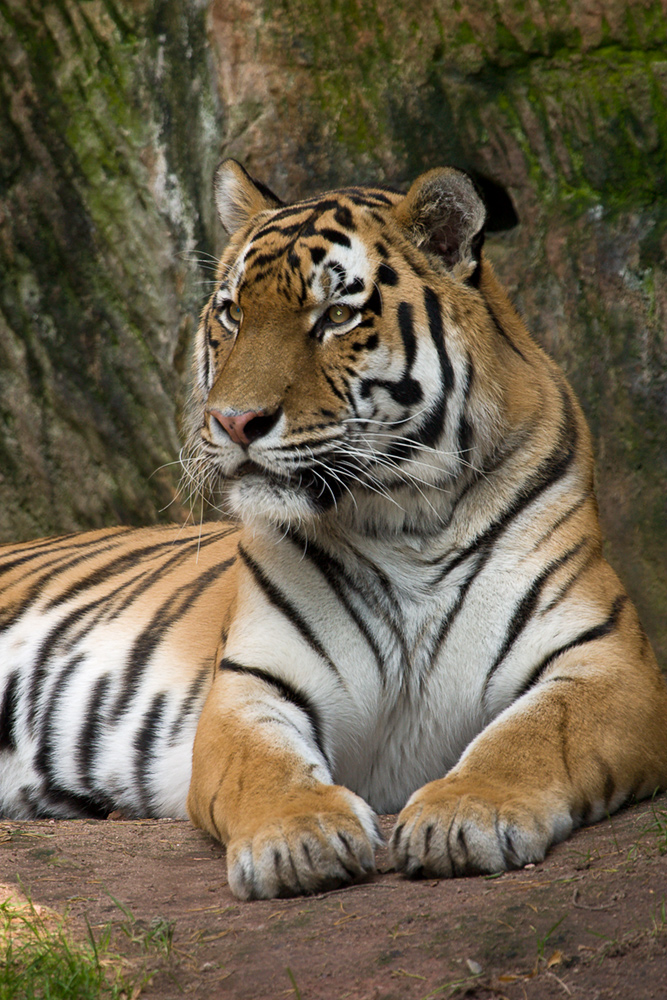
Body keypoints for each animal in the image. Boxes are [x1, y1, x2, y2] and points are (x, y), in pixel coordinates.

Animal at [1, 160, 667, 904]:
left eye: (336, 316)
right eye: (232, 314)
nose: (234, 421)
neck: (407, 518)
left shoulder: (608, 663)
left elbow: (530, 740)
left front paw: (465, 813)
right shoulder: (254, 683)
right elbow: (265, 769)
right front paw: (299, 837)